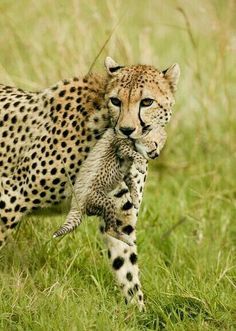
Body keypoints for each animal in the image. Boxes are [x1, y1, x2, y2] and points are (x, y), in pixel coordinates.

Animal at [0, 55, 180, 310]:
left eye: (147, 102)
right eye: (115, 100)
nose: (126, 129)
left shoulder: (120, 213)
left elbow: (127, 269)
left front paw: (138, 311)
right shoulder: (9, 199)